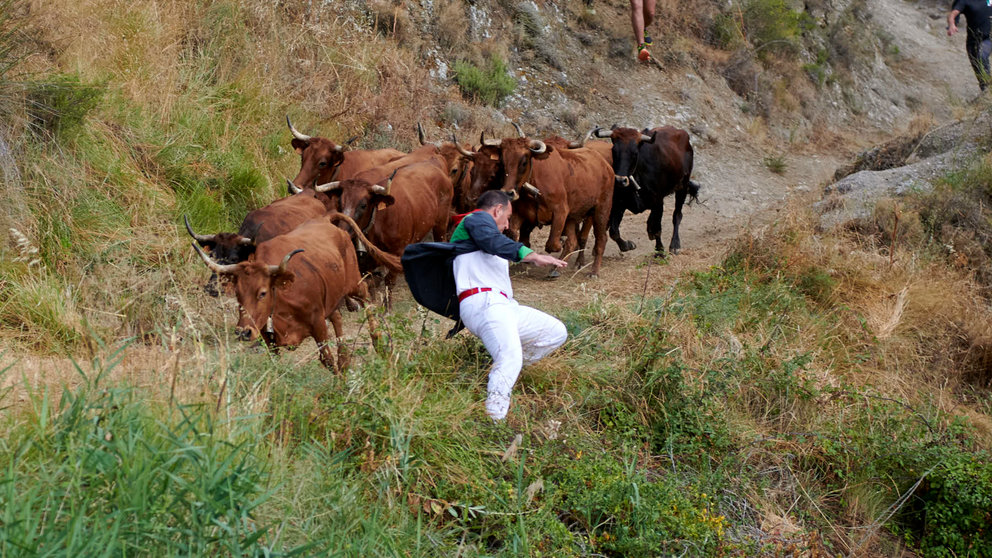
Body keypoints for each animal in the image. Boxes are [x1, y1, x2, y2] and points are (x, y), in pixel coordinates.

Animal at [592, 126, 700, 255]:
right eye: (614, 151)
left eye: (635, 153)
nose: (620, 180)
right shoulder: (619, 203)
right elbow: (613, 231)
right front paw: (627, 245)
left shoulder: (658, 202)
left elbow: (658, 228)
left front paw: (660, 250)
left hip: (682, 187)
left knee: (677, 215)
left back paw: (675, 244)